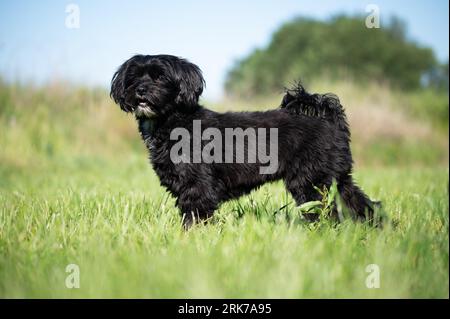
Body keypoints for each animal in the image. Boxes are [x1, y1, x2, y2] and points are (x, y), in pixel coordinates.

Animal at [110, 55, 378, 230]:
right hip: (336, 178)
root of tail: (330, 120)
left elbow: (195, 218)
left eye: (161, 77)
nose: (141, 89)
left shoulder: (199, 187)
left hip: (311, 182)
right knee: (359, 203)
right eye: (133, 77)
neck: (172, 121)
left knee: (327, 211)